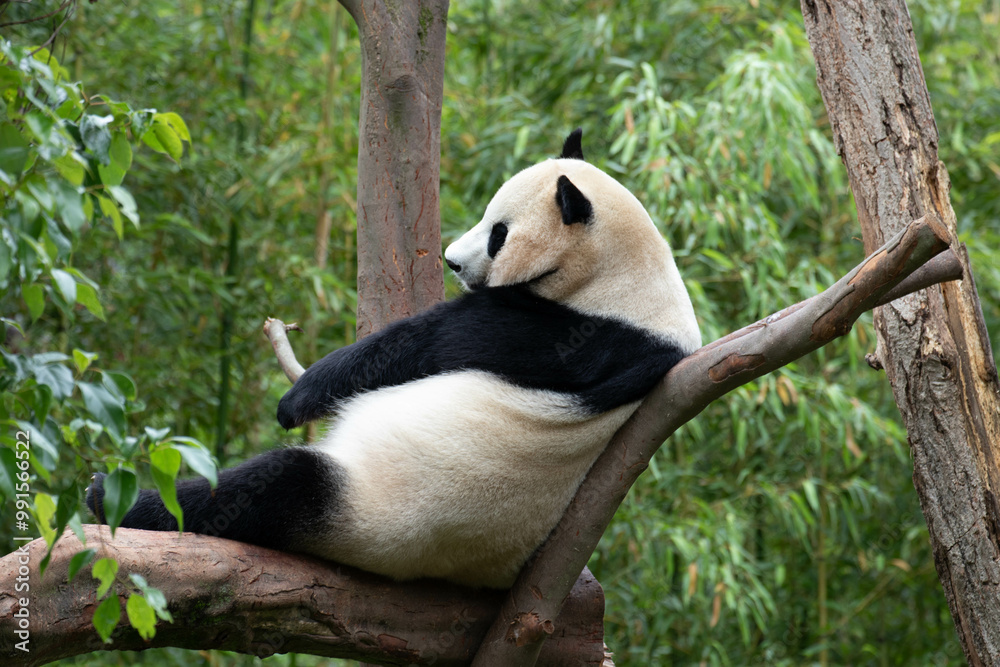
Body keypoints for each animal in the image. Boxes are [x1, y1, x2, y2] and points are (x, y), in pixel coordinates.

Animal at [87, 129, 700, 589]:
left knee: (273, 487)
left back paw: (116, 498)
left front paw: (296, 399)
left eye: (498, 233)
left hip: (380, 510)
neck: (622, 280)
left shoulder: (560, 331)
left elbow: (420, 345)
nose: (452, 261)